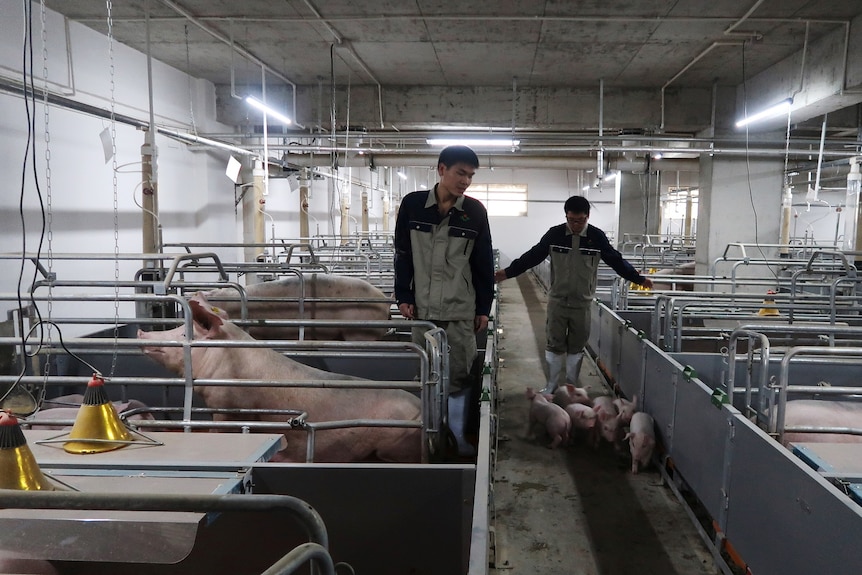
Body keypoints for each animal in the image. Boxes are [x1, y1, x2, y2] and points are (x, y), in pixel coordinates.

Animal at [138, 296, 422, 464]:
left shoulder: (227, 406)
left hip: (394, 445)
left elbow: (221, 430)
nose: (141, 332)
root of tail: (421, 410)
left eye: (183, 332)